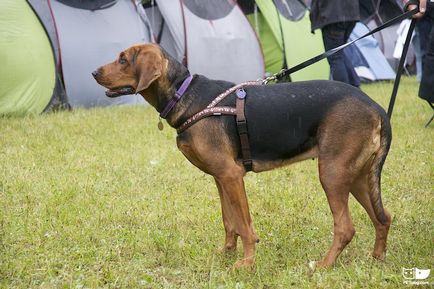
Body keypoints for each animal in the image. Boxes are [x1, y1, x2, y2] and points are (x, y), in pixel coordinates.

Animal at [94, 42, 394, 268]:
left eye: (123, 59)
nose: (94, 72)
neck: (183, 94)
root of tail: (376, 107)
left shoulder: (232, 175)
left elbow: (245, 226)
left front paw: (247, 263)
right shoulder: (220, 178)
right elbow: (230, 222)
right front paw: (226, 254)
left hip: (332, 174)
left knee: (345, 228)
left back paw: (323, 265)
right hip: (355, 176)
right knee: (383, 217)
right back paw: (377, 259)